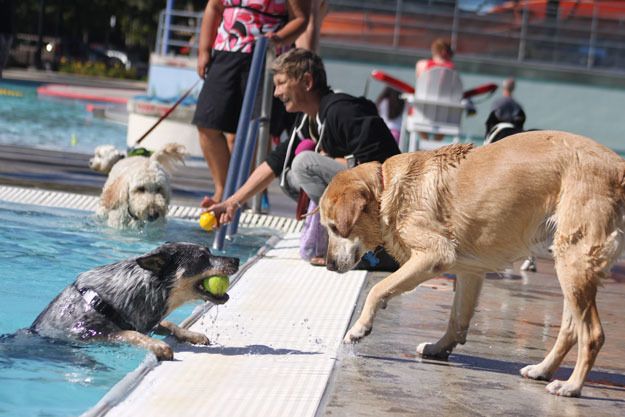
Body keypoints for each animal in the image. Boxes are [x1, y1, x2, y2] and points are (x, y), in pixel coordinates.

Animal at [29, 242, 239, 360]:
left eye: (210, 252)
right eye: (203, 257)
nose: (236, 259)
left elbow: (168, 323)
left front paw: (192, 334)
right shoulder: (88, 333)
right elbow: (129, 333)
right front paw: (159, 346)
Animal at [320, 130, 624, 396]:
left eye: (334, 227)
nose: (329, 265)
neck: (385, 188)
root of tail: (618, 166)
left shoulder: (434, 255)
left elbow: (378, 289)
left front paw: (359, 328)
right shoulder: (470, 273)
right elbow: (457, 319)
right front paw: (438, 348)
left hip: (573, 261)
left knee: (592, 334)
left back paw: (572, 386)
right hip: (569, 266)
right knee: (571, 330)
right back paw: (542, 370)